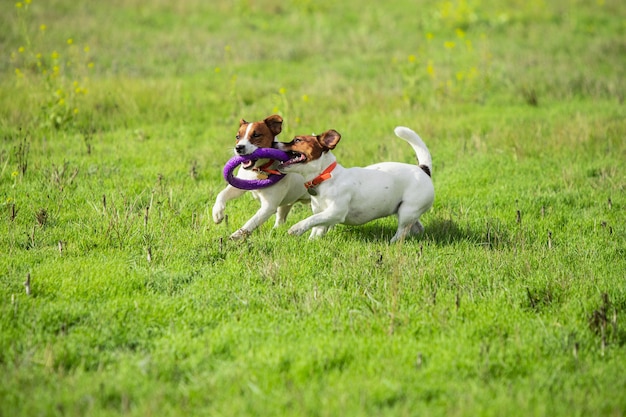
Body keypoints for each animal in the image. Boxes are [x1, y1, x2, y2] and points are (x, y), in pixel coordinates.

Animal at [276, 125, 432, 242]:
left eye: (297, 140)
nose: (275, 143)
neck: (325, 176)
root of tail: (423, 169)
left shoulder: (335, 212)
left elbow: (311, 219)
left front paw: (297, 228)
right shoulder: (322, 213)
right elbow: (317, 225)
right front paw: (311, 241)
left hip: (408, 210)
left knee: (401, 231)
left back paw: (392, 242)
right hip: (405, 211)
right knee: (416, 227)